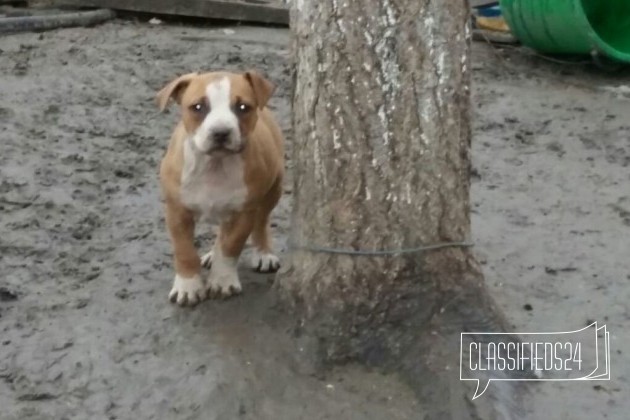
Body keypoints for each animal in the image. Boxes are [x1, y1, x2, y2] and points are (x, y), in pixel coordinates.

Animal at [157, 70, 286, 306]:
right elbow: (184, 250)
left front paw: (222, 280)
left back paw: (263, 253)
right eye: (198, 107)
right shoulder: (176, 211)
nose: (220, 132)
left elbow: (231, 246)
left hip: (275, 187)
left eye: (243, 107)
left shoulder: (243, 213)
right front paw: (188, 286)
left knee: (262, 220)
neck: (214, 166)